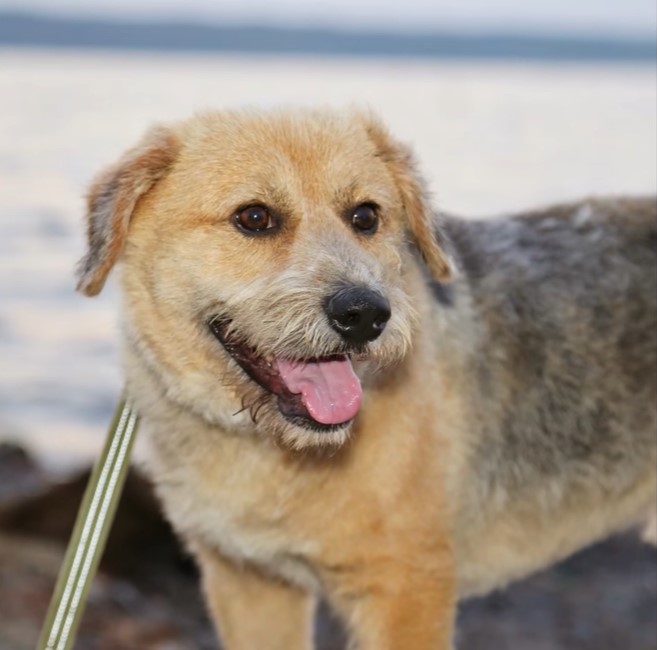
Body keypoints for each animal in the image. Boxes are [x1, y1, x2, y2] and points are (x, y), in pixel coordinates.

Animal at [78, 109, 656, 644]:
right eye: (254, 217)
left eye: (366, 216)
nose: (364, 314)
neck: (270, 449)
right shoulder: (250, 582)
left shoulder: (405, 588)